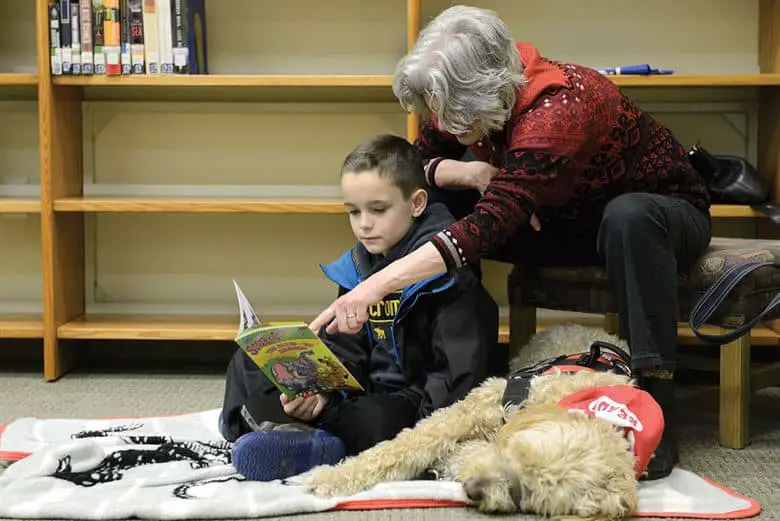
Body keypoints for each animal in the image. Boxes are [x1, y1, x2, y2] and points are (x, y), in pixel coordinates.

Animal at [304, 322, 664, 516]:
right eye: (515, 452)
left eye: (524, 494)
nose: (474, 489)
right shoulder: (475, 407)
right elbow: (402, 446)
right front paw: (329, 478)